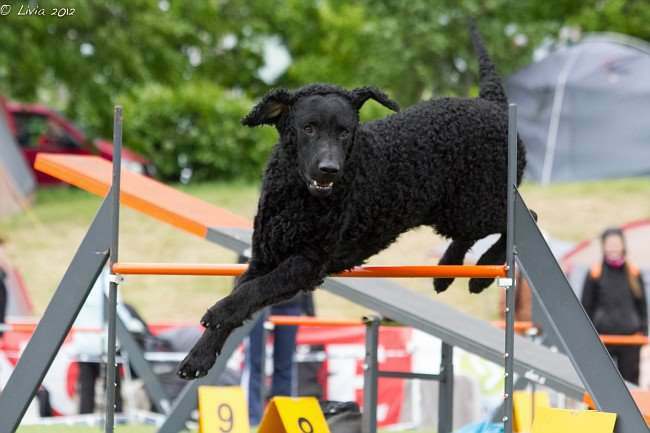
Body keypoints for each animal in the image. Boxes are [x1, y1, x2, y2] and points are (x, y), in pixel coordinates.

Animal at [177, 24, 528, 378]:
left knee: (521, 223)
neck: (297, 198)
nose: (329, 169)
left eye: (345, 131)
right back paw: (444, 271)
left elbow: (251, 292)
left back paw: (481, 275)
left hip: (477, 203)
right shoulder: (263, 257)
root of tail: (493, 104)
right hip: (452, 211)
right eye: (308, 128)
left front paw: (217, 313)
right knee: (474, 234)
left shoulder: (308, 262)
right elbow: (243, 292)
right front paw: (199, 357)